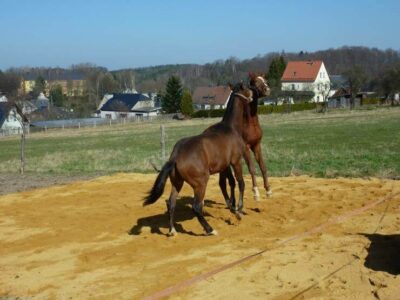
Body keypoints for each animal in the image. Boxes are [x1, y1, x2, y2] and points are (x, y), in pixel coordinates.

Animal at [143, 85, 253, 237]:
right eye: (246, 90)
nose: (253, 94)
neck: (230, 128)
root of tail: (176, 156)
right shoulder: (236, 161)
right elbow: (240, 183)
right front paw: (239, 210)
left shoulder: (225, 166)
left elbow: (229, 183)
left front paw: (233, 207)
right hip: (201, 183)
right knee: (196, 207)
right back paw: (210, 230)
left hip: (177, 183)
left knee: (171, 203)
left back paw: (172, 230)